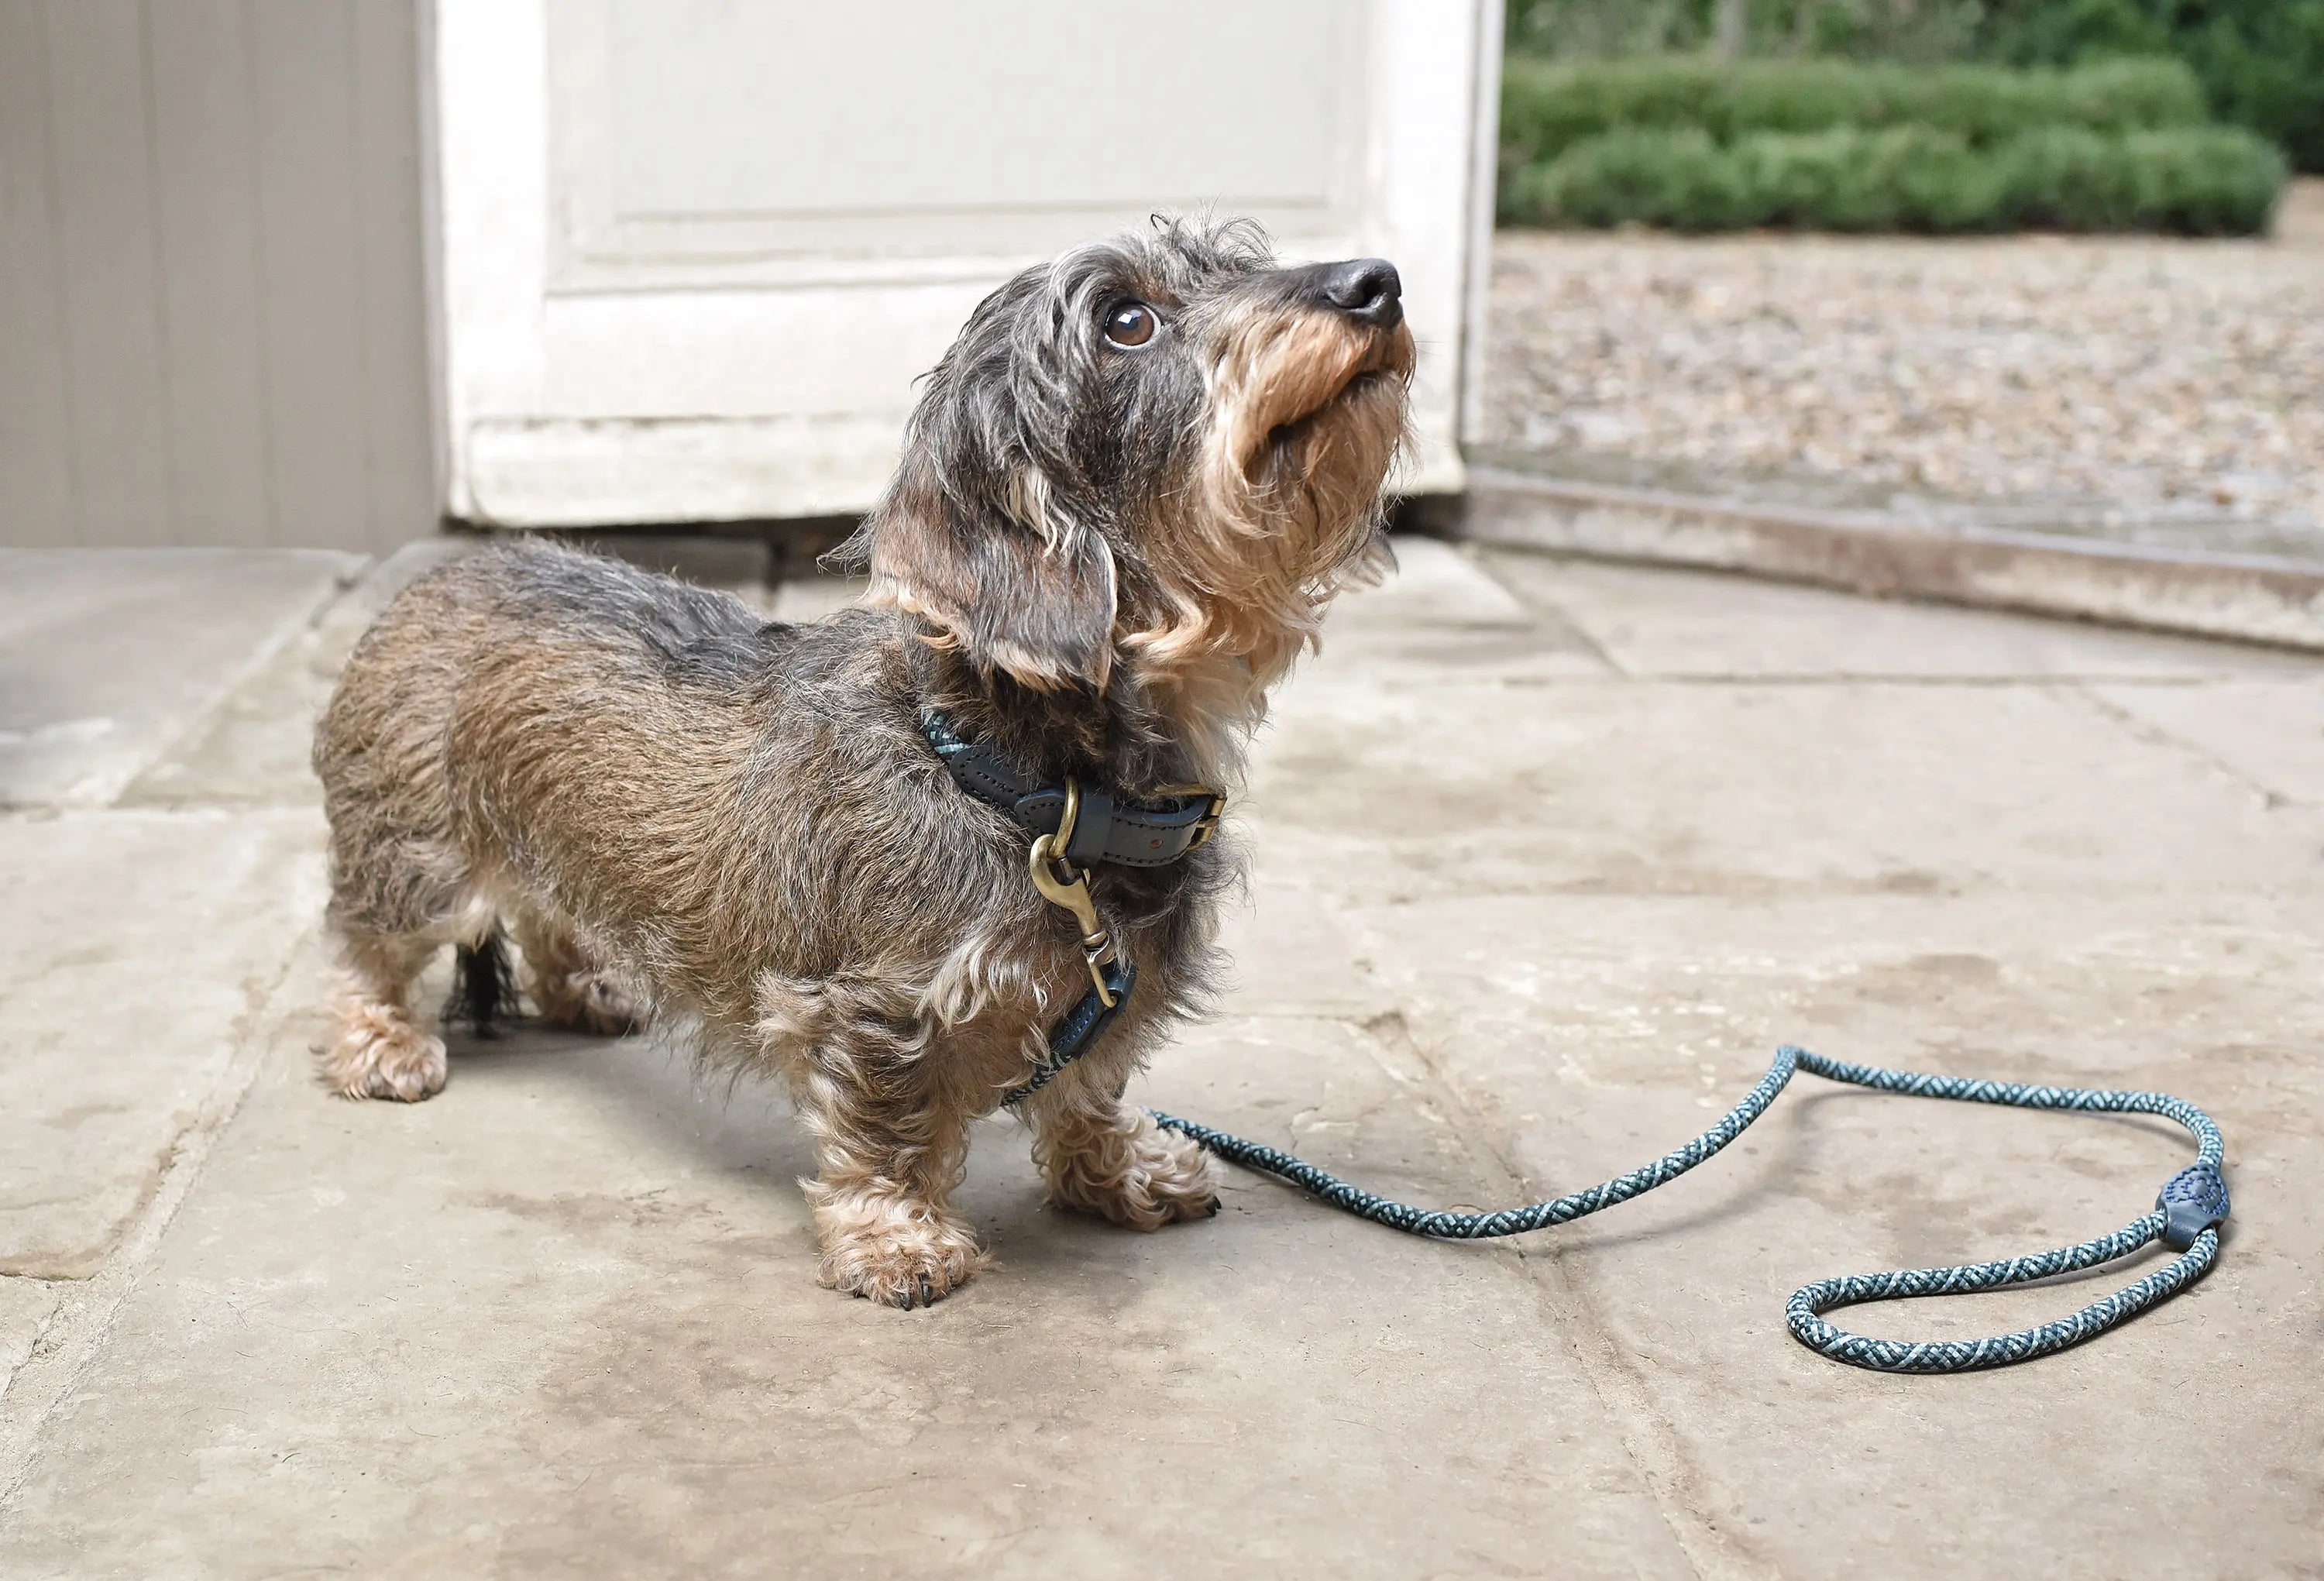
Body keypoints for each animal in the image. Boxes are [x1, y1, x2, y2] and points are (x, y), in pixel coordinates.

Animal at [311, 222, 1413, 1311]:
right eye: (1127, 322)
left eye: (1239, 260)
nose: (1379, 281)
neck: (1027, 782)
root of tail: (442, 573)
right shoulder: (872, 1006)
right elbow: (889, 1128)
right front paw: (896, 1239)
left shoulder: (1109, 994)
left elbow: (1089, 1084)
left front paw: (1117, 1169)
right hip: (413, 854)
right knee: (369, 946)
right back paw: (383, 1043)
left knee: (544, 909)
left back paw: (586, 987)